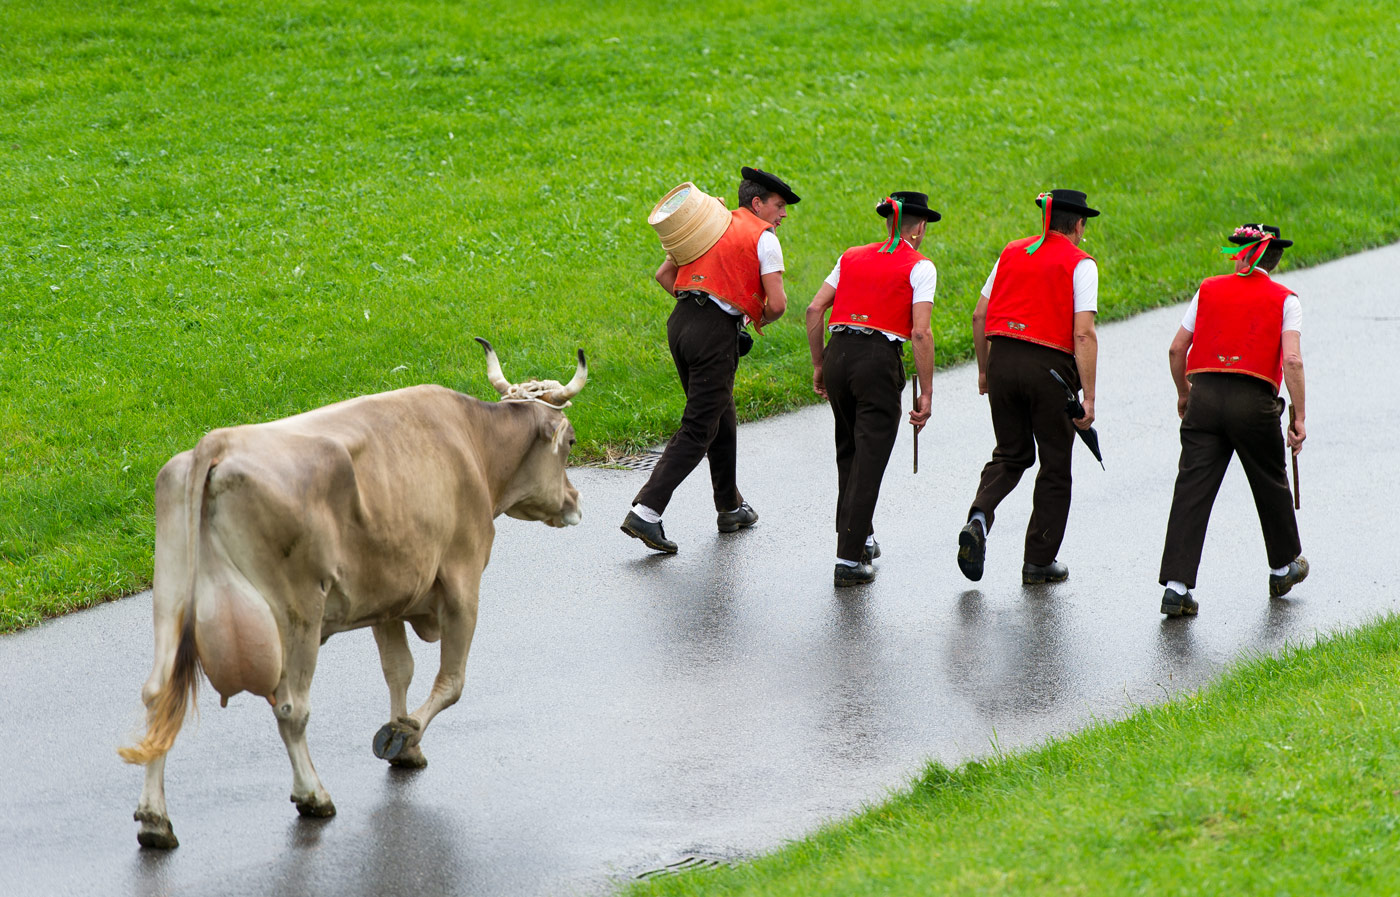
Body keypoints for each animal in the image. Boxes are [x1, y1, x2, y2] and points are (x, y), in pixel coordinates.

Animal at [114, 335, 585, 845]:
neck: (473, 443)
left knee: (159, 696)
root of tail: (217, 442)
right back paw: (313, 796)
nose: (575, 501)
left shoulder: (389, 596)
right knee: (291, 708)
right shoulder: (462, 579)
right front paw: (406, 735)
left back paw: (155, 820)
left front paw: (403, 738)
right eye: (570, 443)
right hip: (298, 608)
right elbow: (451, 681)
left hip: (170, 598)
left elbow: (399, 670)